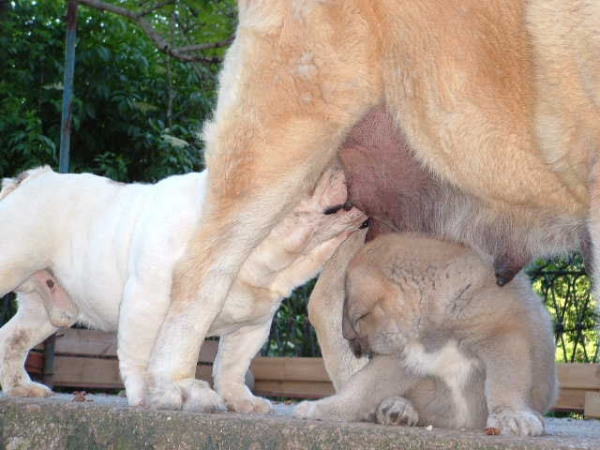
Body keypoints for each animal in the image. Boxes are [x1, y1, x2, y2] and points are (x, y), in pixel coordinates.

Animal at [0, 165, 366, 412]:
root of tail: (30, 179)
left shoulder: (252, 327)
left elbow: (232, 366)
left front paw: (240, 400)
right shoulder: (146, 303)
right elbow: (140, 355)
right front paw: (148, 395)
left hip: (46, 310)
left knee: (13, 338)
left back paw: (21, 388)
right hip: (11, 262)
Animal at [296, 232, 556, 436]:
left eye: (356, 319)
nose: (348, 339)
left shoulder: (503, 335)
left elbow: (505, 379)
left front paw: (511, 415)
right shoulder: (398, 361)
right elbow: (359, 388)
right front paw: (321, 408)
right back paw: (397, 408)